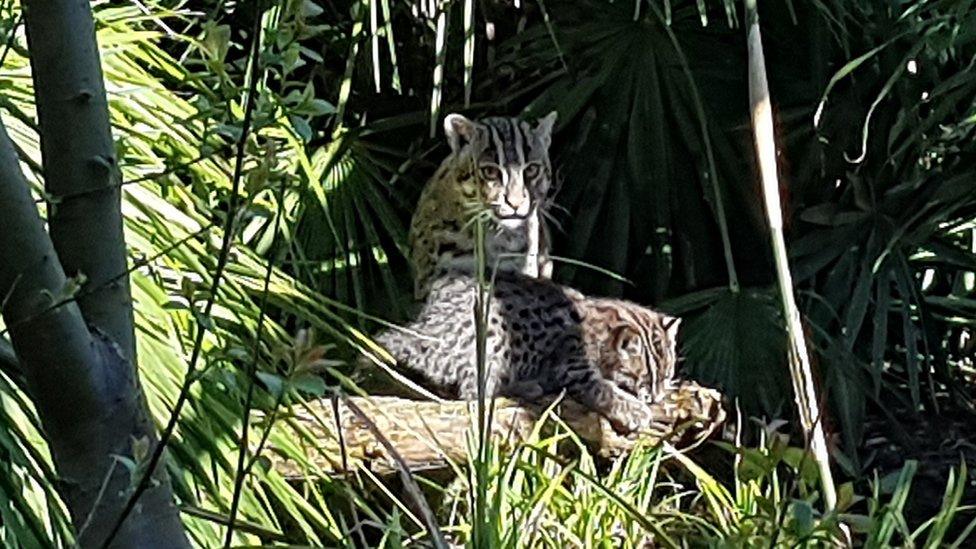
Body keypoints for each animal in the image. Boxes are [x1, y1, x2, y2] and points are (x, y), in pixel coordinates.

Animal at [374, 272, 680, 432]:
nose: (656, 397)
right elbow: (602, 388)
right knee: (473, 392)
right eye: (643, 379)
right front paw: (633, 409)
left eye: (666, 377)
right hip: (493, 332)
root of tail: (426, 328)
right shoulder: (571, 362)